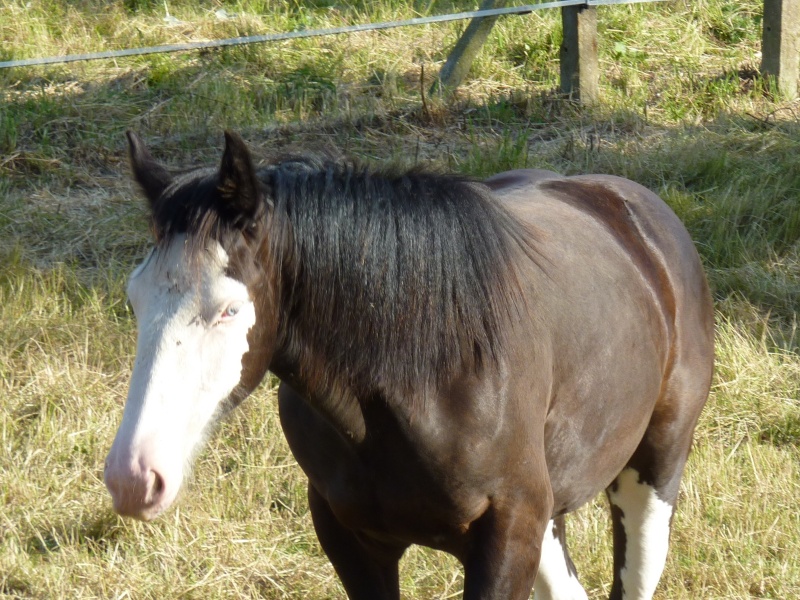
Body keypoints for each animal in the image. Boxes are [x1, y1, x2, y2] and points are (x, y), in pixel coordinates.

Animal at [106, 131, 712, 600]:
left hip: (652, 475)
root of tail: (633, 208)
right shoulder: (350, 537)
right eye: (135, 300)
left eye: (230, 309)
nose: (133, 478)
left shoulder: (507, 536)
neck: (421, 380)